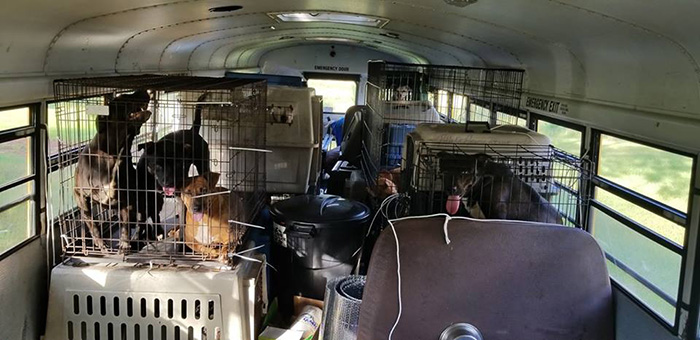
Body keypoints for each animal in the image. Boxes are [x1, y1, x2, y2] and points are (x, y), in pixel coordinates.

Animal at [73, 89, 151, 254]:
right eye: (123, 97)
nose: (144, 90)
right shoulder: (80, 196)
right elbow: (93, 224)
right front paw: (101, 244)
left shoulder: (126, 199)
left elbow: (125, 226)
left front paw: (124, 245)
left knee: (140, 223)